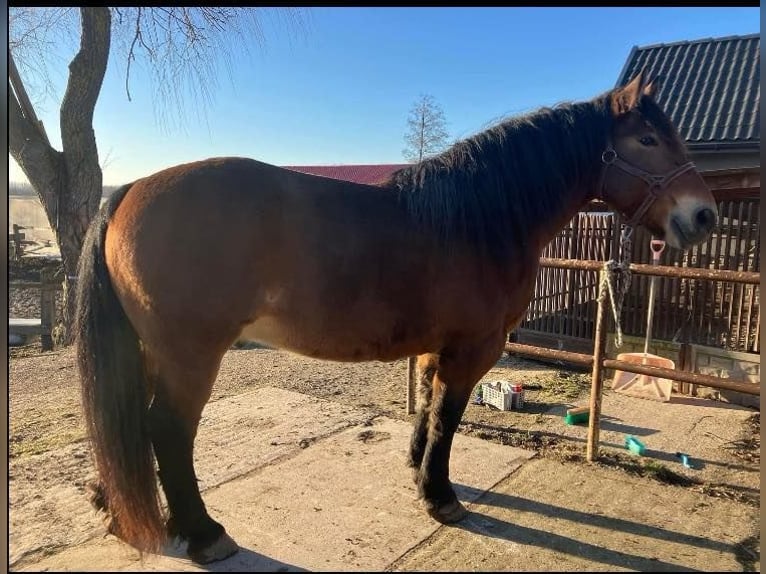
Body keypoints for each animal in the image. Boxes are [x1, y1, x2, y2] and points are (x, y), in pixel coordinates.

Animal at [73, 70, 720, 564]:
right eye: (647, 139)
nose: (704, 216)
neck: (480, 220)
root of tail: (129, 190)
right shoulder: (473, 348)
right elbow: (448, 419)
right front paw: (440, 496)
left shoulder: (439, 346)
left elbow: (429, 410)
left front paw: (417, 472)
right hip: (191, 354)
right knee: (166, 430)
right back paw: (205, 533)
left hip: (154, 350)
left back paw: (124, 512)